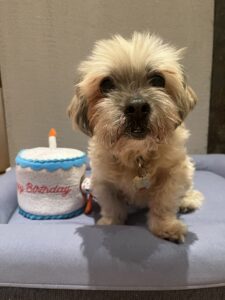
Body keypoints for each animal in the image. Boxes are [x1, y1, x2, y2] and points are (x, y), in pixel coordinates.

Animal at [67, 32, 203, 244]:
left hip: (188, 170)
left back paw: (188, 199)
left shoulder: (175, 173)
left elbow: (164, 203)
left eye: (158, 80)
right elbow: (112, 205)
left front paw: (166, 227)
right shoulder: (103, 180)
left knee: (186, 190)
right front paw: (110, 223)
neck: (137, 154)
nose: (137, 106)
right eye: (106, 84)